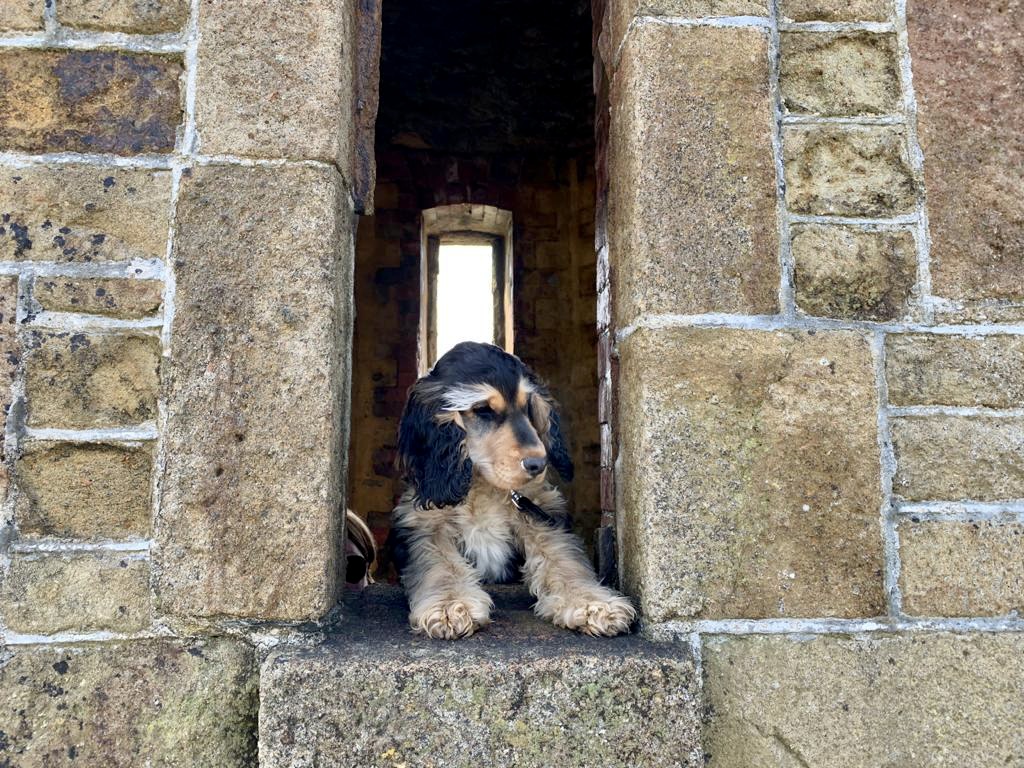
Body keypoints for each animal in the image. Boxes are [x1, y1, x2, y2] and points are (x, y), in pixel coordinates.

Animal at [389, 341, 635, 639]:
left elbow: (564, 560)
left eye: (526, 406)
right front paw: (451, 606)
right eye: (483, 409)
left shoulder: (540, 516)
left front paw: (593, 604)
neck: (482, 485)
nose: (538, 464)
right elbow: (441, 564)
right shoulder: (425, 526)